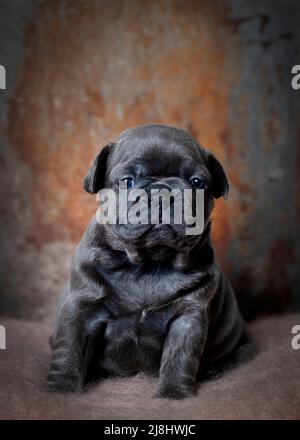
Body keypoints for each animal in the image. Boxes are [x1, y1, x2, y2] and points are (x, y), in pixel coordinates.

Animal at [48, 123, 254, 398]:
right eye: (127, 181)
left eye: (197, 182)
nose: (162, 192)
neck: (148, 263)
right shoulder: (81, 309)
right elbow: (68, 352)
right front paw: (61, 390)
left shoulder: (188, 318)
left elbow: (179, 357)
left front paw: (174, 395)